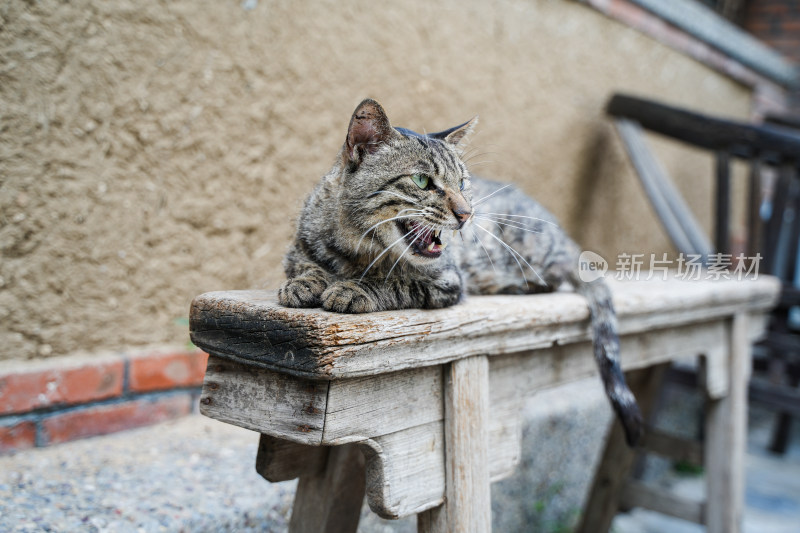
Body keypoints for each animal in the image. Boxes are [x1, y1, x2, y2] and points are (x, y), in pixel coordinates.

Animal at [278, 98, 640, 444]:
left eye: (463, 183)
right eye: (422, 180)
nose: (467, 213)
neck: (358, 251)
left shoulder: (447, 281)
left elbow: (396, 281)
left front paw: (353, 288)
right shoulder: (297, 251)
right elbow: (306, 265)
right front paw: (304, 283)